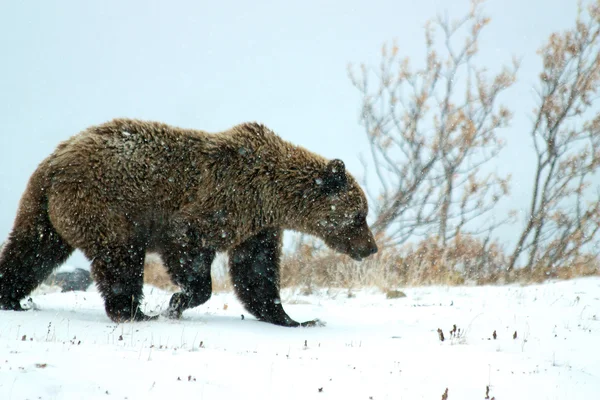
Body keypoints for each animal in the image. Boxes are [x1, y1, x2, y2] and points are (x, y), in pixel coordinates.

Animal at [0, 118, 376, 324]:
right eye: (360, 215)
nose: (371, 248)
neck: (271, 195)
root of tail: (55, 161)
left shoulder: (257, 227)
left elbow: (257, 273)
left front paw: (297, 319)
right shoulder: (218, 204)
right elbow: (189, 248)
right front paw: (177, 302)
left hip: (43, 207)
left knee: (31, 250)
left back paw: (10, 298)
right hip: (105, 204)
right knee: (120, 260)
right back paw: (135, 313)